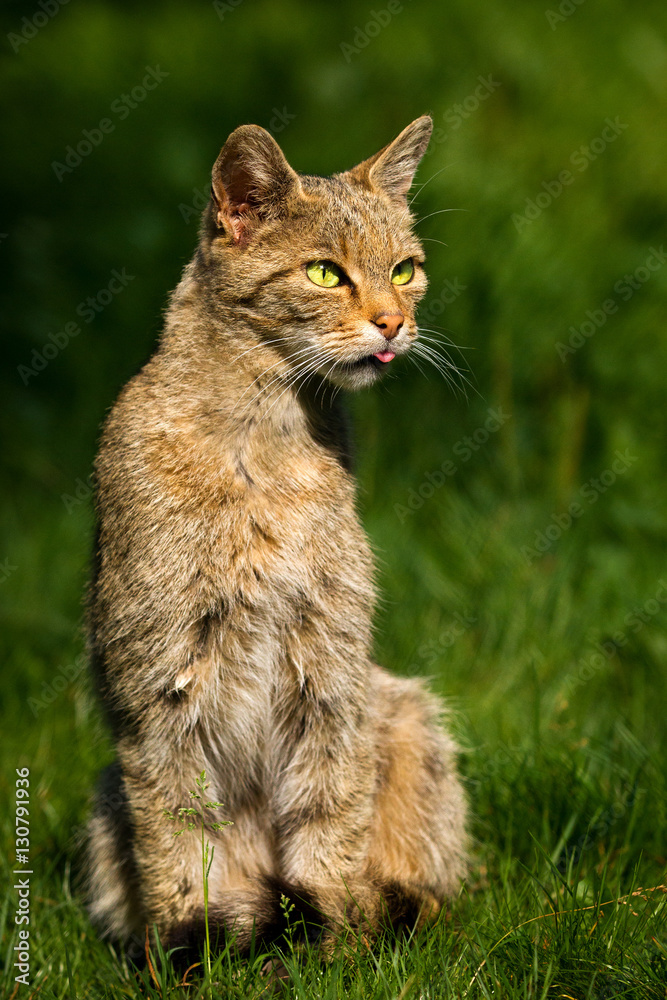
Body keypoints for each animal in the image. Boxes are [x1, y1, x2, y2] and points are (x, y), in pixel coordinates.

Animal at [86, 113, 468, 964]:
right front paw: (191, 946)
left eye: (405, 270)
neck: (266, 436)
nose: (394, 323)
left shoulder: (330, 668)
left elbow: (331, 816)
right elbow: (176, 834)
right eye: (324, 274)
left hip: (404, 713)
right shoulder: (160, 682)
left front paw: (333, 942)